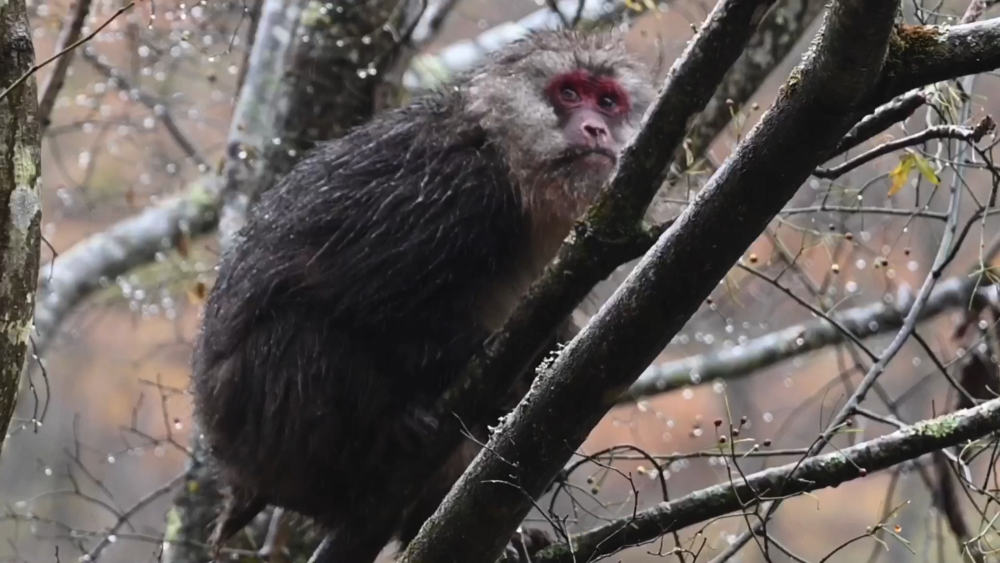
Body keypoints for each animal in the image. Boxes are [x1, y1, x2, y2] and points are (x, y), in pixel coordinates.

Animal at [189, 29, 656, 563]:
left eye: (609, 101)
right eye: (570, 93)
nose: (597, 129)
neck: (510, 162)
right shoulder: (457, 194)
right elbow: (362, 296)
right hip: (265, 426)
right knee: (297, 331)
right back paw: (383, 436)